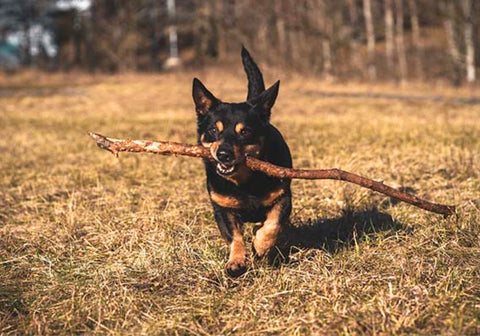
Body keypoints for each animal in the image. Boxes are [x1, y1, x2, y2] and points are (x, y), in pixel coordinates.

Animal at [192, 46, 292, 276]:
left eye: (245, 132)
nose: (223, 154)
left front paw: (261, 245)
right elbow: (234, 237)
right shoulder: (222, 209)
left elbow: (272, 225)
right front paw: (236, 261)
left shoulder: (283, 198)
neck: (244, 182)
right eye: (213, 131)